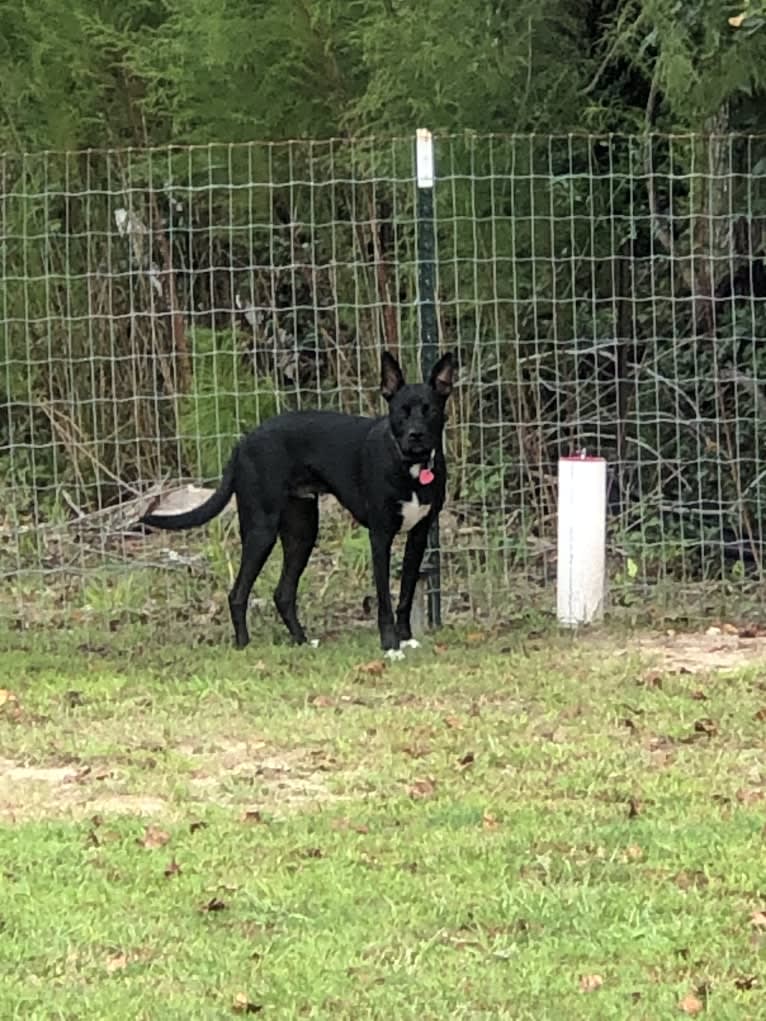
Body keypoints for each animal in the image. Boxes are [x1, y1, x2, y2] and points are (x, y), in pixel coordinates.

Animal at [141, 349, 455, 653]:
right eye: (401, 412)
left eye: (430, 410)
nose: (416, 435)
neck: (410, 467)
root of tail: (243, 442)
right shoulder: (380, 536)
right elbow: (384, 599)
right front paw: (390, 644)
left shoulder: (419, 535)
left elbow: (406, 593)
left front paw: (406, 637)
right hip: (261, 530)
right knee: (237, 593)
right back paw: (244, 645)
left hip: (301, 531)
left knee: (282, 593)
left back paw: (301, 640)